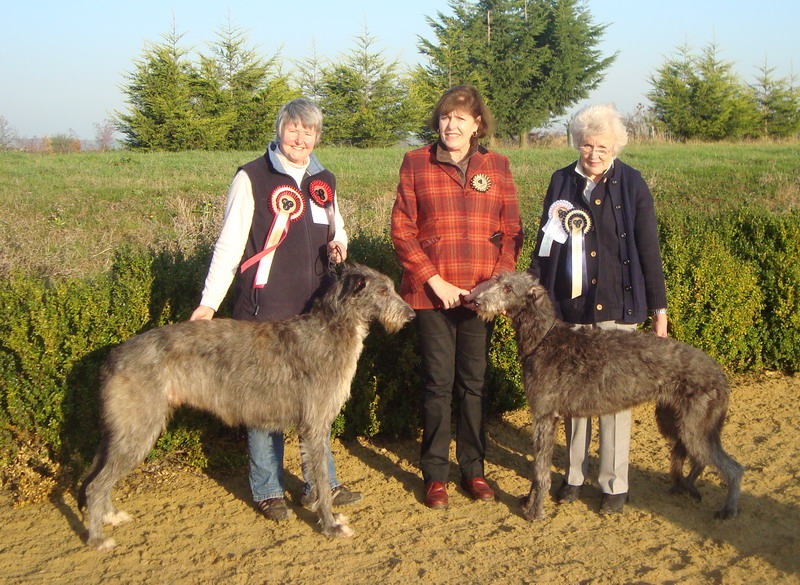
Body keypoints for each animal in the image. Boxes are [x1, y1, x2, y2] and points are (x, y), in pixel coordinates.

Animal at [76, 264, 412, 548]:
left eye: (392, 287)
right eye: (383, 291)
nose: (410, 315)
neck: (330, 329)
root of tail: (114, 356)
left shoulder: (314, 426)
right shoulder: (316, 424)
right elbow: (320, 477)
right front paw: (330, 526)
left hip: (122, 430)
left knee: (96, 477)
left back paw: (109, 516)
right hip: (139, 429)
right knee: (96, 485)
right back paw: (97, 539)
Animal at [476, 272, 744, 524]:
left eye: (508, 288)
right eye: (497, 280)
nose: (476, 300)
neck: (544, 338)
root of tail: (719, 372)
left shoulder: (544, 417)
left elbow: (540, 470)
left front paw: (535, 511)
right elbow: (538, 467)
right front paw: (529, 501)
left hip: (695, 426)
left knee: (733, 467)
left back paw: (728, 510)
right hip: (672, 420)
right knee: (698, 458)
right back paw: (688, 486)